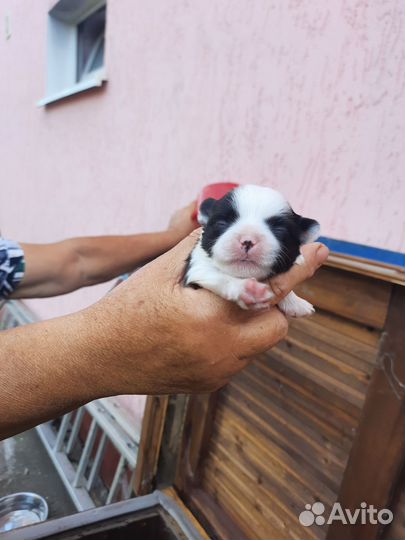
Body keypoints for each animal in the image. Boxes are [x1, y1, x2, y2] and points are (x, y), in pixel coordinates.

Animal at [183, 185, 318, 316]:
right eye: (221, 223)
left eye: (280, 230)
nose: (248, 240)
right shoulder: (197, 264)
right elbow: (218, 276)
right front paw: (248, 290)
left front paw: (296, 303)